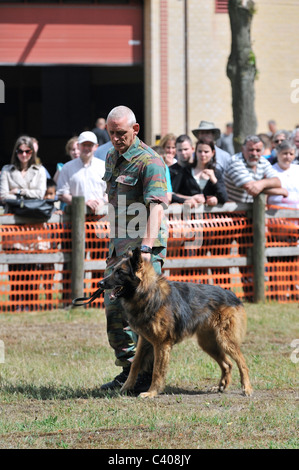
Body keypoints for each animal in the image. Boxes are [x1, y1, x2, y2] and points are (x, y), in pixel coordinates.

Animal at [100, 248, 253, 398]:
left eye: (120, 272)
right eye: (113, 270)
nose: (100, 283)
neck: (149, 293)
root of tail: (232, 295)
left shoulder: (162, 344)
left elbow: (157, 371)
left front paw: (152, 392)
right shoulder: (145, 341)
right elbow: (135, 364)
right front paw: (126, 388)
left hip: (225, 341)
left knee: (242, 363)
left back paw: (247, 388)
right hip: (208, 343)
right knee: (227, 364)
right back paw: (221, 386)